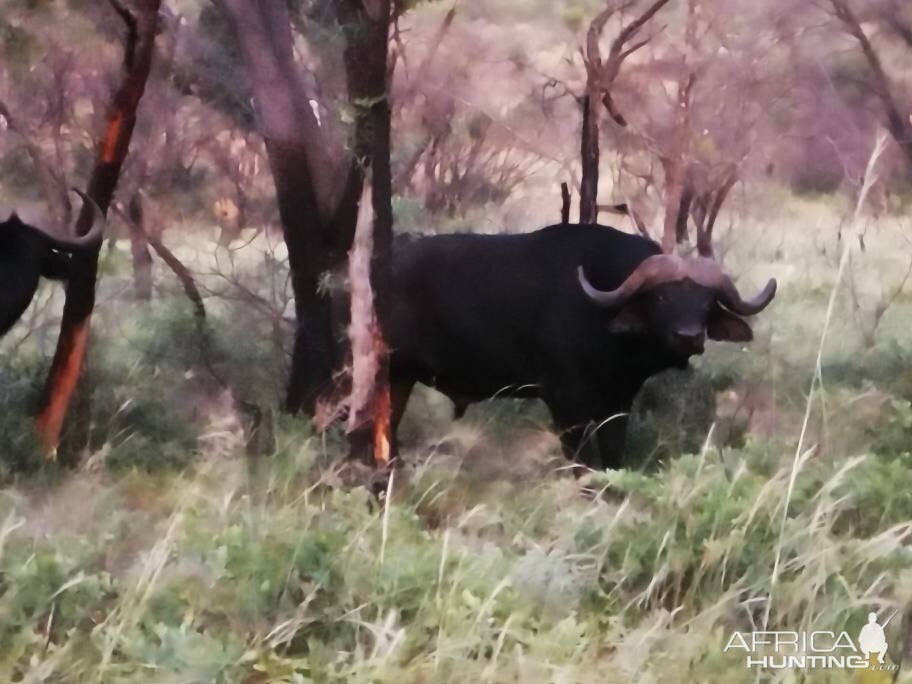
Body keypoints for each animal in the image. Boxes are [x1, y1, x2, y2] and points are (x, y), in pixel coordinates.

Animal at [386, 224, 776, 470]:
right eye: (661, 298)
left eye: (707, 301)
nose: (688, 336)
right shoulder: (565, 403)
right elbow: (582, 462)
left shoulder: (618, 403)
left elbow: (613, 455)